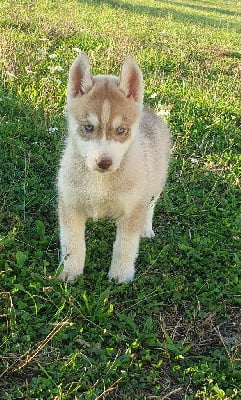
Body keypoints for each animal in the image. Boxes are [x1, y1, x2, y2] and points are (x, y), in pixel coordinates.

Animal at [58, 53, 171, 282]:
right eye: (88, 127)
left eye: (120, 130)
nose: (104, 162)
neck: (100, 182)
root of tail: (149, 112)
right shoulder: (70, 205)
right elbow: (73, 244)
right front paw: (70, 272)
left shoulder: (132, 210)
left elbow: (124, 247)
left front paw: (120, 276)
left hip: (155, 185)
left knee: (151, 206)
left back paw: (146, 230)